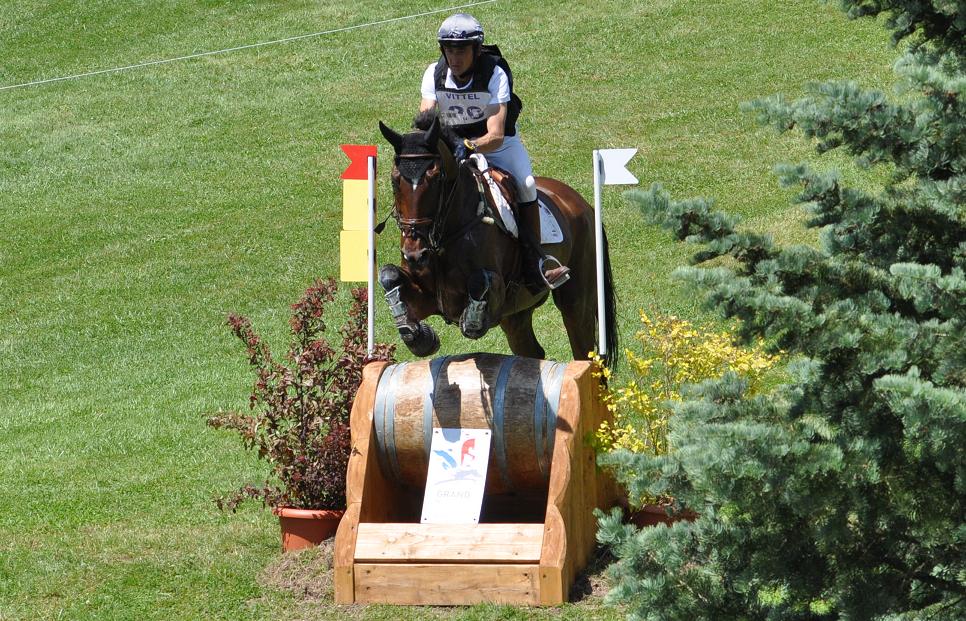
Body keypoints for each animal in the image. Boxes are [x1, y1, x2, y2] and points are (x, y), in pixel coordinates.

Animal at [374, 116, 616, 366]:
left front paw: (471, 321)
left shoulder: (497, 296)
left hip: (576, 301)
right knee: (532, 351)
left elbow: (480, 282)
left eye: (435, 178)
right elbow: (389, 275)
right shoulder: (426, 296)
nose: (414, 254)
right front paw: (419, 337)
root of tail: (582, 204)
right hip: (517, 315)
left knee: (583, 347)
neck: (443, 237)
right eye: (394, 180)